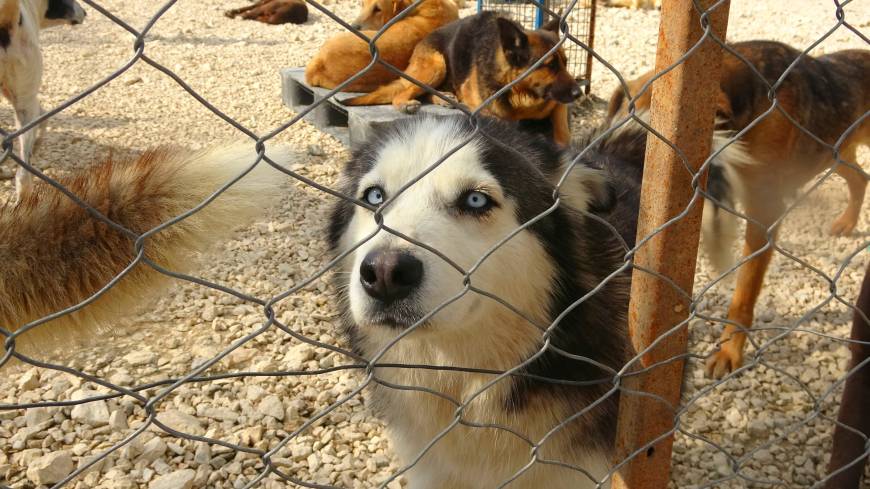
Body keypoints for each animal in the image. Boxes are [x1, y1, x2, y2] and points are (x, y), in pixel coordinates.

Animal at [344, 11, 584, 145]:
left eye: (566, 63)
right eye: (550, 65)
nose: (578, 93)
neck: (521, 94)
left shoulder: (557, 103)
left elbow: (562, 128)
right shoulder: (483, 103)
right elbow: (499, 120)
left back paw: (444, 98)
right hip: (436, 65)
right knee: (404, 92)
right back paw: (408, 103)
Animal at [608, 41, 870, 378]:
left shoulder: (763, 212)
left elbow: (744, 292)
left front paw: (729, 349)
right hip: (835, 154)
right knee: (861, 177)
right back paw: (847, 222)